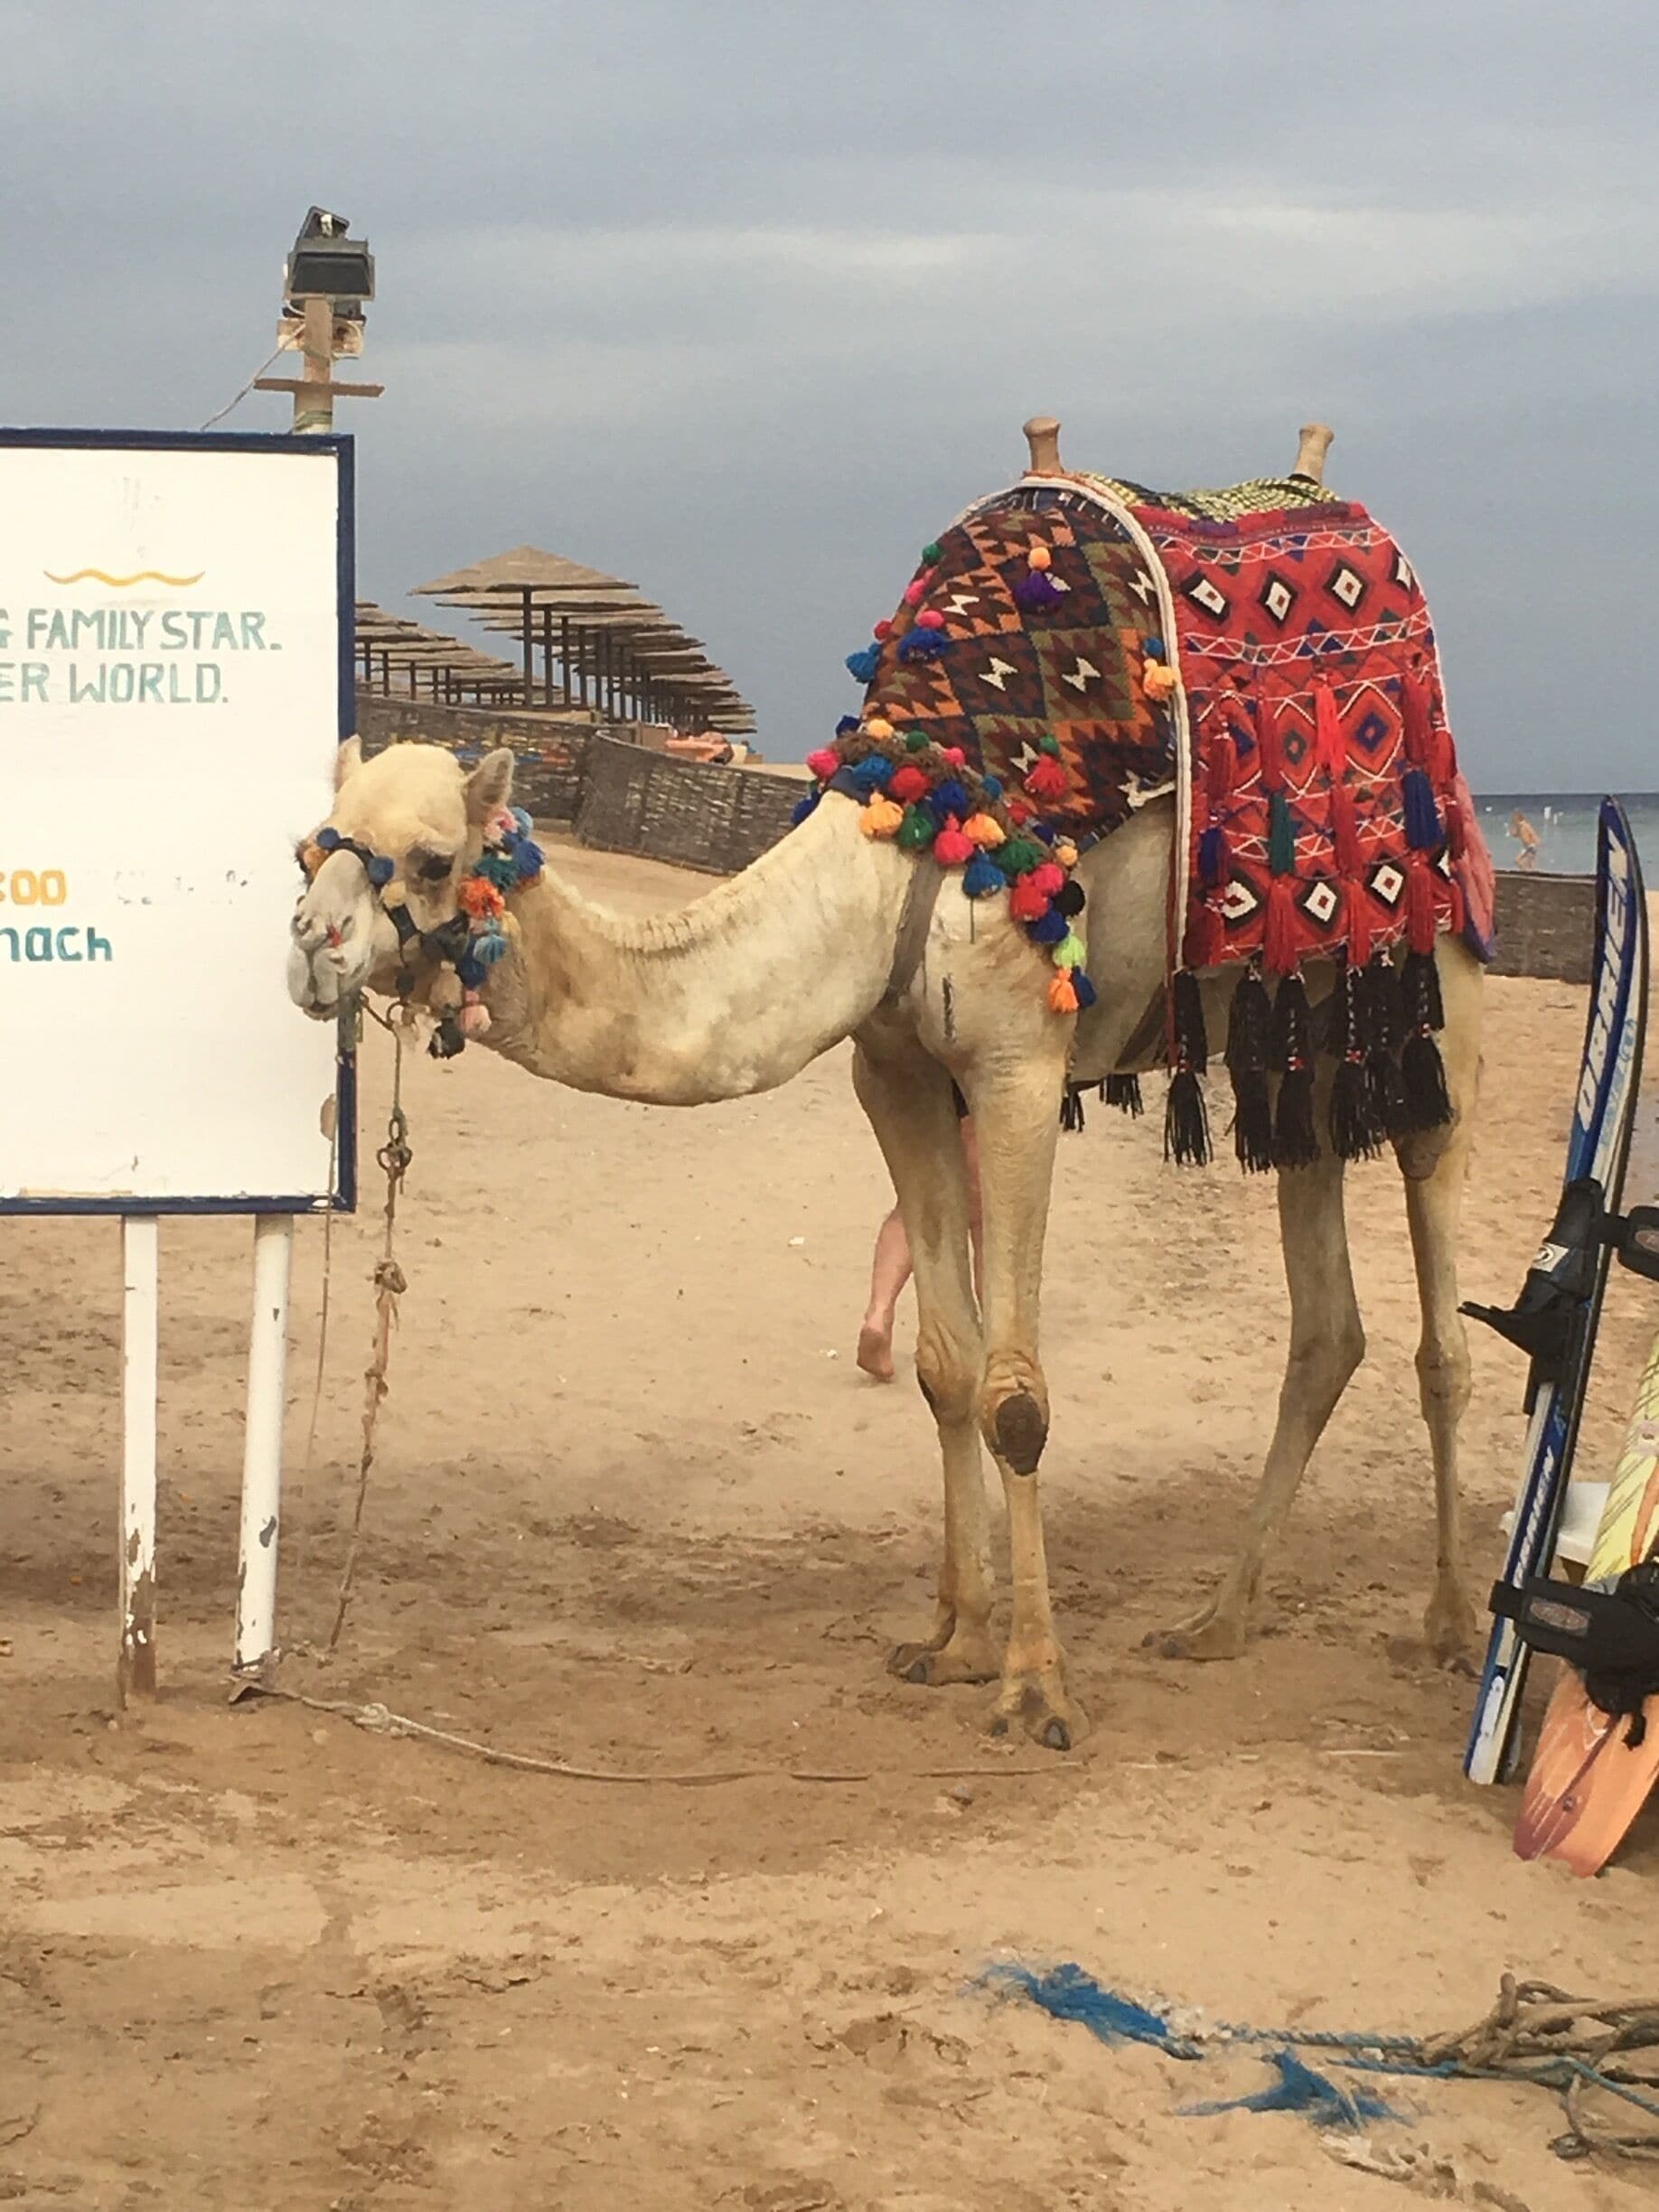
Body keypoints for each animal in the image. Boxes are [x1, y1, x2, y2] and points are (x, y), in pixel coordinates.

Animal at [289, 422, 1483, 1751]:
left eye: (432, 860)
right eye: (312, 842)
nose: (310, 951)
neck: (904, 847)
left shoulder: (1017, 1067)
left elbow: (1016, 1395)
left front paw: (1036, 1689)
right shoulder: (896, 1073)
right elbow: (946, 1369)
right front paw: (954, 1642)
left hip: (1435, 976)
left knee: (1442, 1324)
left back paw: (1450, 1627)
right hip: (1297, 1041)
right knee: (1325, 1325)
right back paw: (1216, 1621)